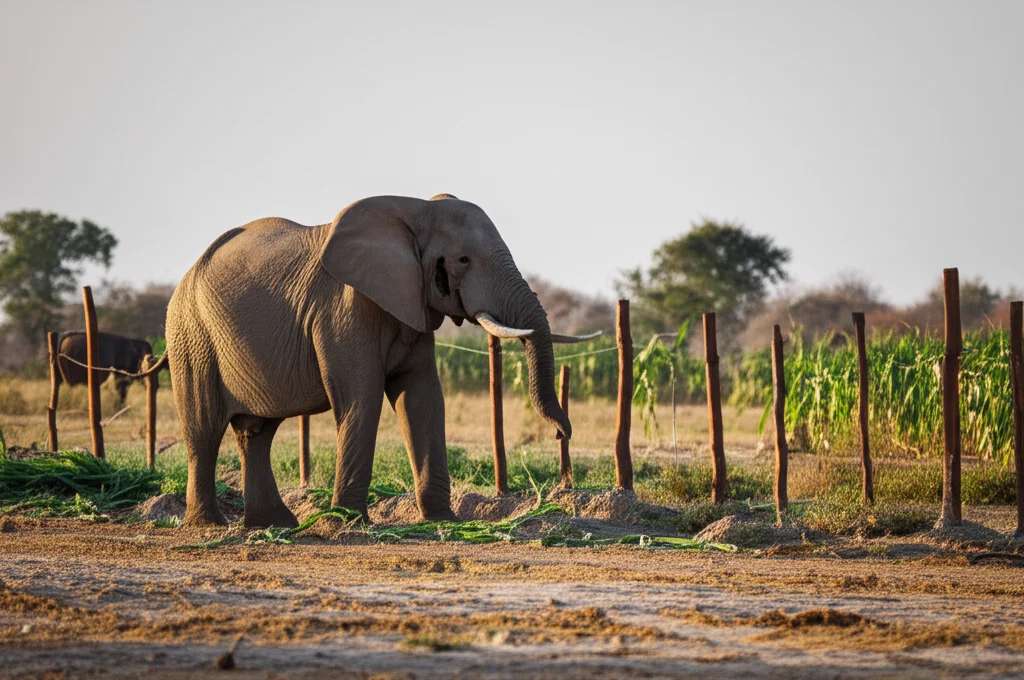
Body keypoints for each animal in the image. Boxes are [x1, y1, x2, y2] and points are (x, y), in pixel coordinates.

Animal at [165, 194, 598, 528]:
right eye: (462, 260)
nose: (562, 434)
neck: (415, 209)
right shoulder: (344, 310)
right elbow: (363, 398)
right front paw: (346, 522)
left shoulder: (412, 305)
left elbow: (422, 399)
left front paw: (443, 521)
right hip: (190, 334)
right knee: (204, 428)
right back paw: (210, 525)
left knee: (256, 432)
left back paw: (276, 524)